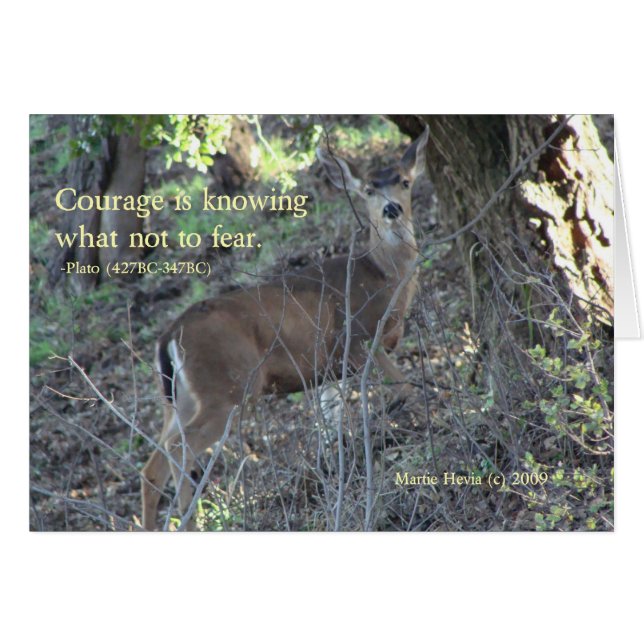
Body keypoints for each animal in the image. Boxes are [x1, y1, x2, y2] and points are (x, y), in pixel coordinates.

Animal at [141, 126, 430, 530]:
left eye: (404, 181)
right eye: (369, 189)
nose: (392, 209)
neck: (384, 277)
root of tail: (168, 337)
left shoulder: (329, 369)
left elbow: (330, 425)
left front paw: (334, 472)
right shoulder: (354, 337)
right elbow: (404, 386)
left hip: (178, 398)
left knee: (153, 464)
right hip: (226, 387)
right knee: (179, 447)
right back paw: (190, 517)